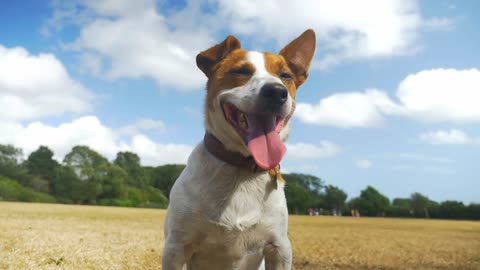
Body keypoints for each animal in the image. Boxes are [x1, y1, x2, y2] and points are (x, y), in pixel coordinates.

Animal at [163, 29, 316, 270]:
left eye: (286, 75)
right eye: (241, 70)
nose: (276, 91)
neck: (241, 171)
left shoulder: (279, 247)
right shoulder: (177, 247)